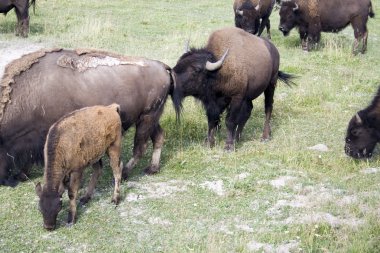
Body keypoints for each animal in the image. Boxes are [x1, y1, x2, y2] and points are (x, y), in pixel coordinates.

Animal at [0, 48, 182, 186]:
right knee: (158, 137)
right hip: (151, 117)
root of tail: (164, 67)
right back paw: (152, 169)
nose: (4, 181)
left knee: (140, 147)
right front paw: (21, 174)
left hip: (146, 118)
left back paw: (125, 173)